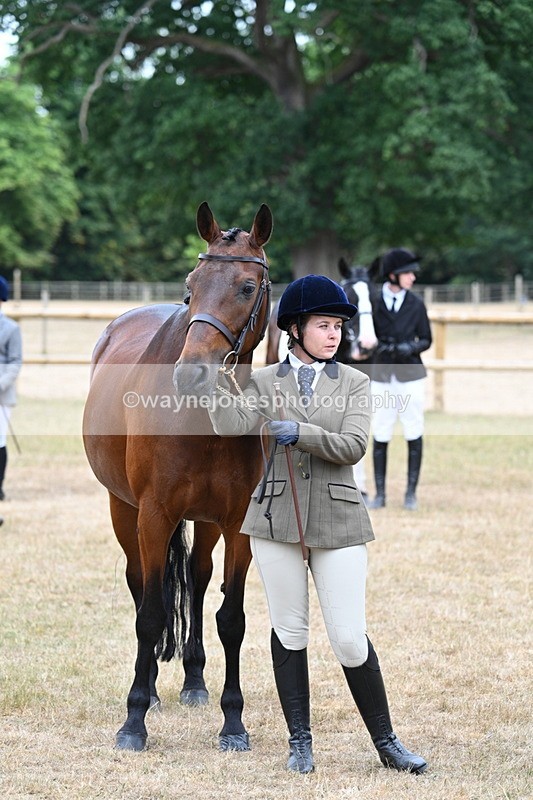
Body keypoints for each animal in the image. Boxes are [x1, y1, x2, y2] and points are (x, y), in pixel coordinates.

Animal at [82, 202, 273, 753]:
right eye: (192, 285)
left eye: (247, 287)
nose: (193, 373)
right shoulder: (153, 514)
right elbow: (149, 613)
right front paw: (133, 720)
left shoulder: (236, 523)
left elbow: (231, 619)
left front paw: (233, 723)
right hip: (123, 510)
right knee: (141, 584)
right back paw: (150, 689)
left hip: (205, 522)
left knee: (196, 576)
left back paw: (193, 681)